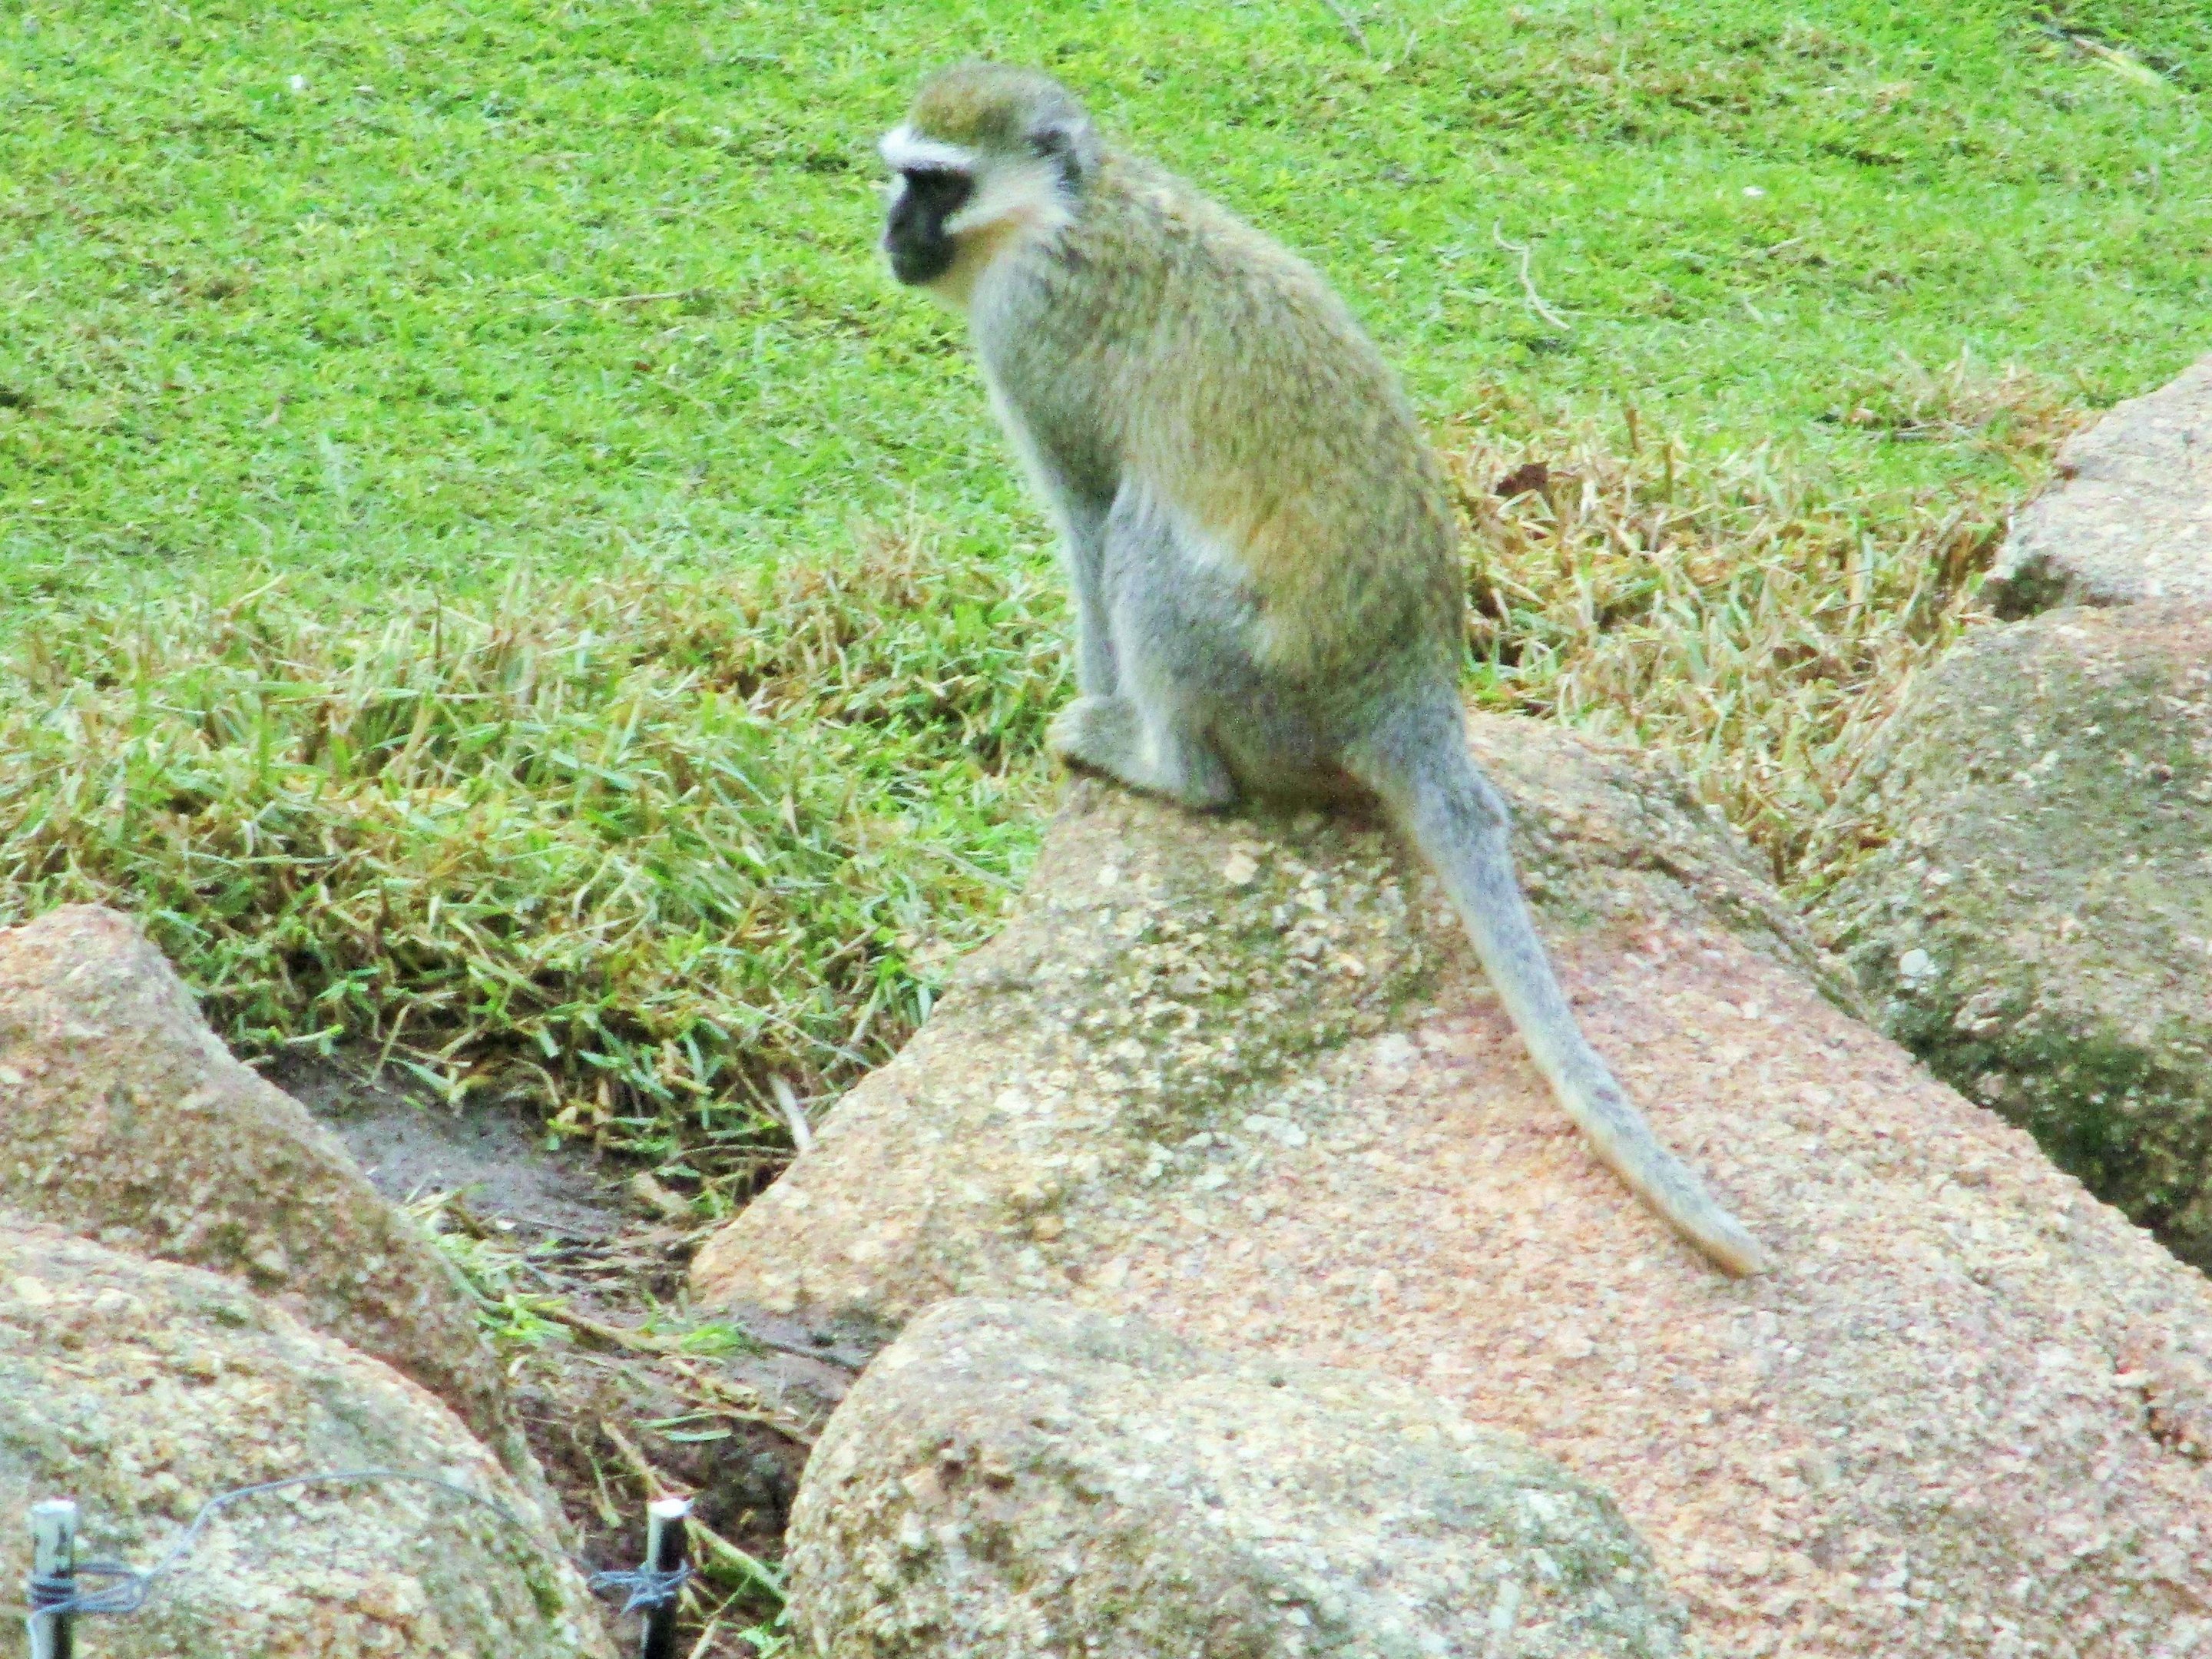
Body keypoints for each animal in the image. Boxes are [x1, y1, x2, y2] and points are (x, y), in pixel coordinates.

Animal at [876, 63, 1770, 1277]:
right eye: (905, 176)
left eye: (939, 184)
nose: (892, 228)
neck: (1067, 208)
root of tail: (1404, 699)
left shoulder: (1034, 334)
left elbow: (1090, 512)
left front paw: (1097, 719)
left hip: (1261, 686)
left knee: (1146, 535)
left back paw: (1164, 764)